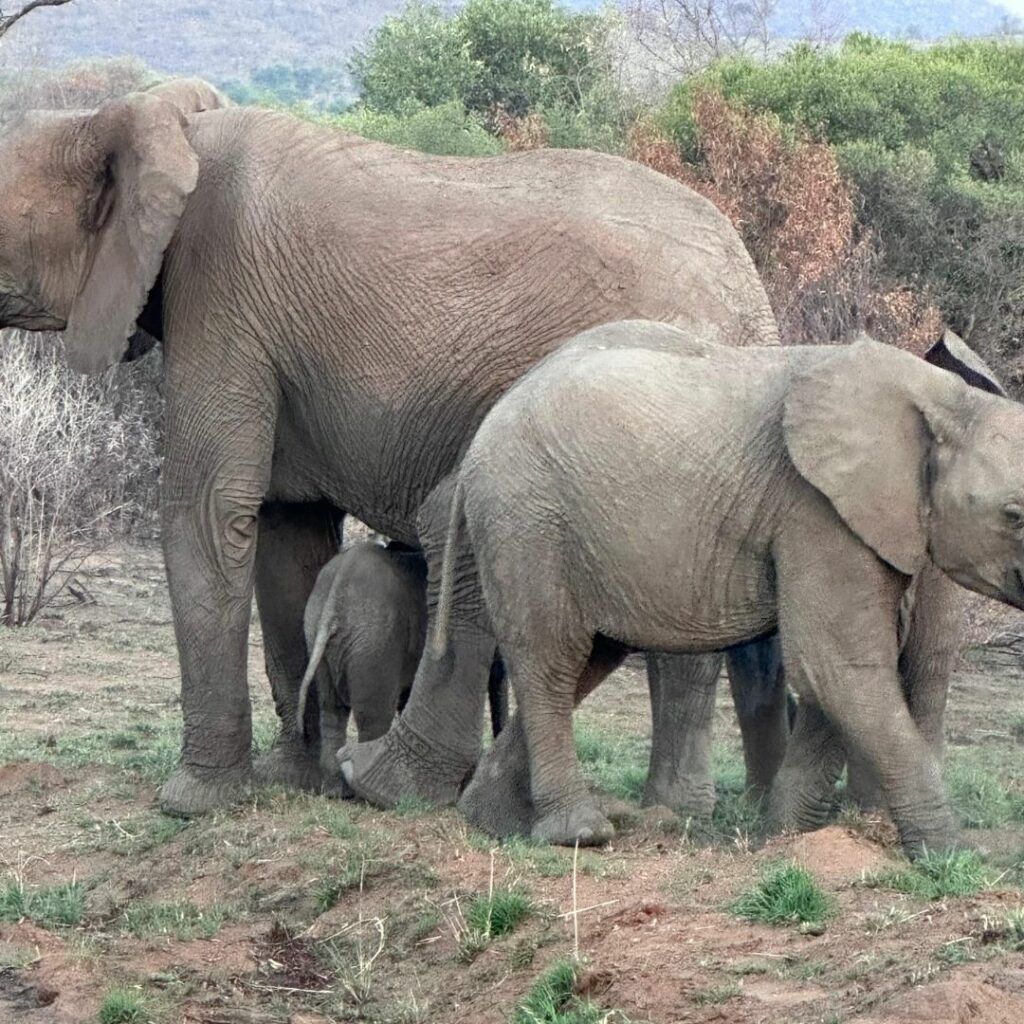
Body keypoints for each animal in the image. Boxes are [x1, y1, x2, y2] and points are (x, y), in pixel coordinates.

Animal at [296, 540, 507, 787]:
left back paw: (336, 789)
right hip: (375, 643)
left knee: (331, 708)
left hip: (316, 630)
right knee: (374, 715)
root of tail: (335, 598)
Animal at [440, 320, 1024, 855]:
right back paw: (578, 834)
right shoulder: (816, 511)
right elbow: (839, 667)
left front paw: (784, 835)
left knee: (590, 660)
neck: (947, 398)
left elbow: (836, 678)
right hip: (526, 521)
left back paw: (495, 822)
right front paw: (955, 857)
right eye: (1014, 515)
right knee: (552, 662)